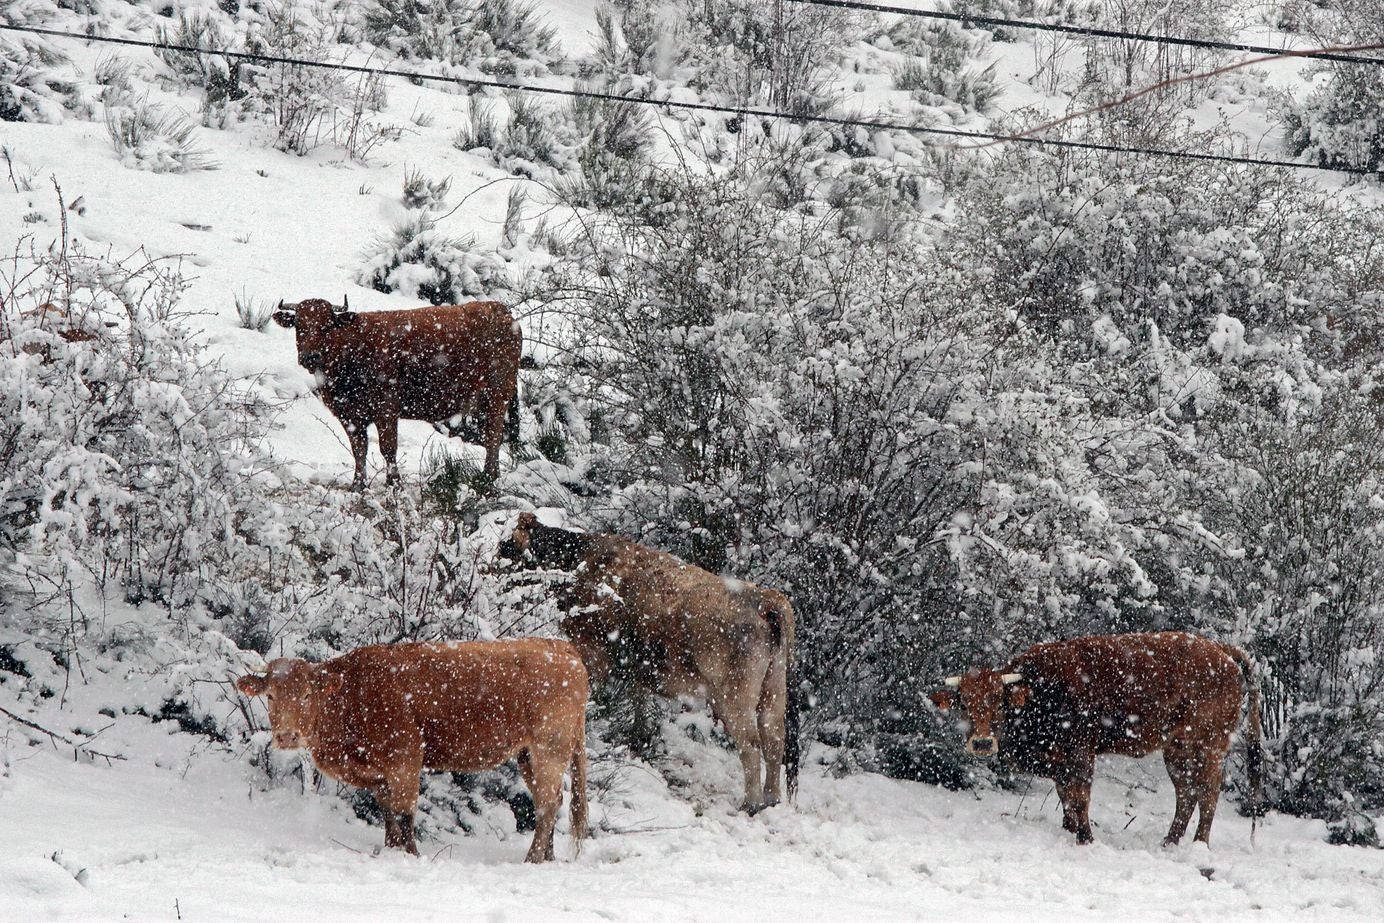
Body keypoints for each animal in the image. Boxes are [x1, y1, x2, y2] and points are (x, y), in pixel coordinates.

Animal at [233, 639, 589, 863]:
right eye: (271, 696)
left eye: (307, 694)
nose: (287, 736)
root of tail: (561, 647)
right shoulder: (379, 772)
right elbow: (388, 810)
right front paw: (391, 849)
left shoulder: (405, 757)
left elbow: (405, 812)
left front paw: (413, 856)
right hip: (528, 754)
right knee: (552, 801)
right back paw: (548, 858)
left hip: (549, 748)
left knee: (546, 805)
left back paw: (532, 859)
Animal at [272, 300, 520, 495]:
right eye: (299, 326)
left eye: (327, 327)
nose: (310, 357)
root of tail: (503, 311)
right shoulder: (351, 417)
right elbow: (359, 449)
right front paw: (358, 485)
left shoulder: (386, 411)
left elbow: (388, 448)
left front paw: (395, 484)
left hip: (497, 396)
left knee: (493, 436)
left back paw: (487, 479)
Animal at [498, 512, 802, 813]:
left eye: (507, 544)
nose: (493, 567)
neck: (579, 560)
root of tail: (765, 599)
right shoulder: (639, 667)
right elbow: (639, 701)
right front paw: (639, 738)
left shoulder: (593, 651)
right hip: (773, 689)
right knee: (774, 738)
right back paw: (771, 798)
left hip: (735, 696)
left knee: (751, 744)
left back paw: (751, 803)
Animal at [935, 631, 1262, 846]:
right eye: (963, 703)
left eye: (998, 700)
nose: (981, 743)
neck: (1040, 690)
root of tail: (1218, 649)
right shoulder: (1058, 760)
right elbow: (1065, 794)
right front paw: (1069, 829)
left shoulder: (1080, 752)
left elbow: (1079, 796)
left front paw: (1086, 838)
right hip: (1177, 749)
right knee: (1186, 792)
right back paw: (1169, 841)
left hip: (1208, 747)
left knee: (1208, 792)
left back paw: (1199, 844)